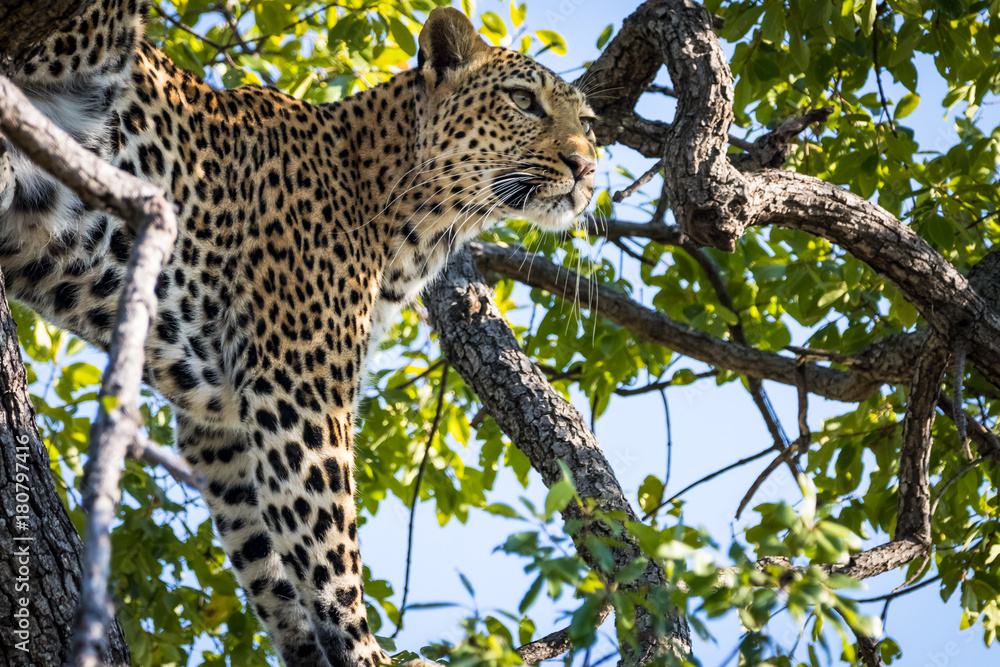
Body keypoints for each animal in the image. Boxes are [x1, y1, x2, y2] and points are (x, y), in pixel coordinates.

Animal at [0, 2, 597, 665]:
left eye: (588, 124)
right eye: (522, 100)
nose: (587, 167)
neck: (413, 222)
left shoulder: (217, 422)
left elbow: (264, 559)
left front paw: (311, 648)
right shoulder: (297, 392)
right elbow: (329, 551)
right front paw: (364, 650)